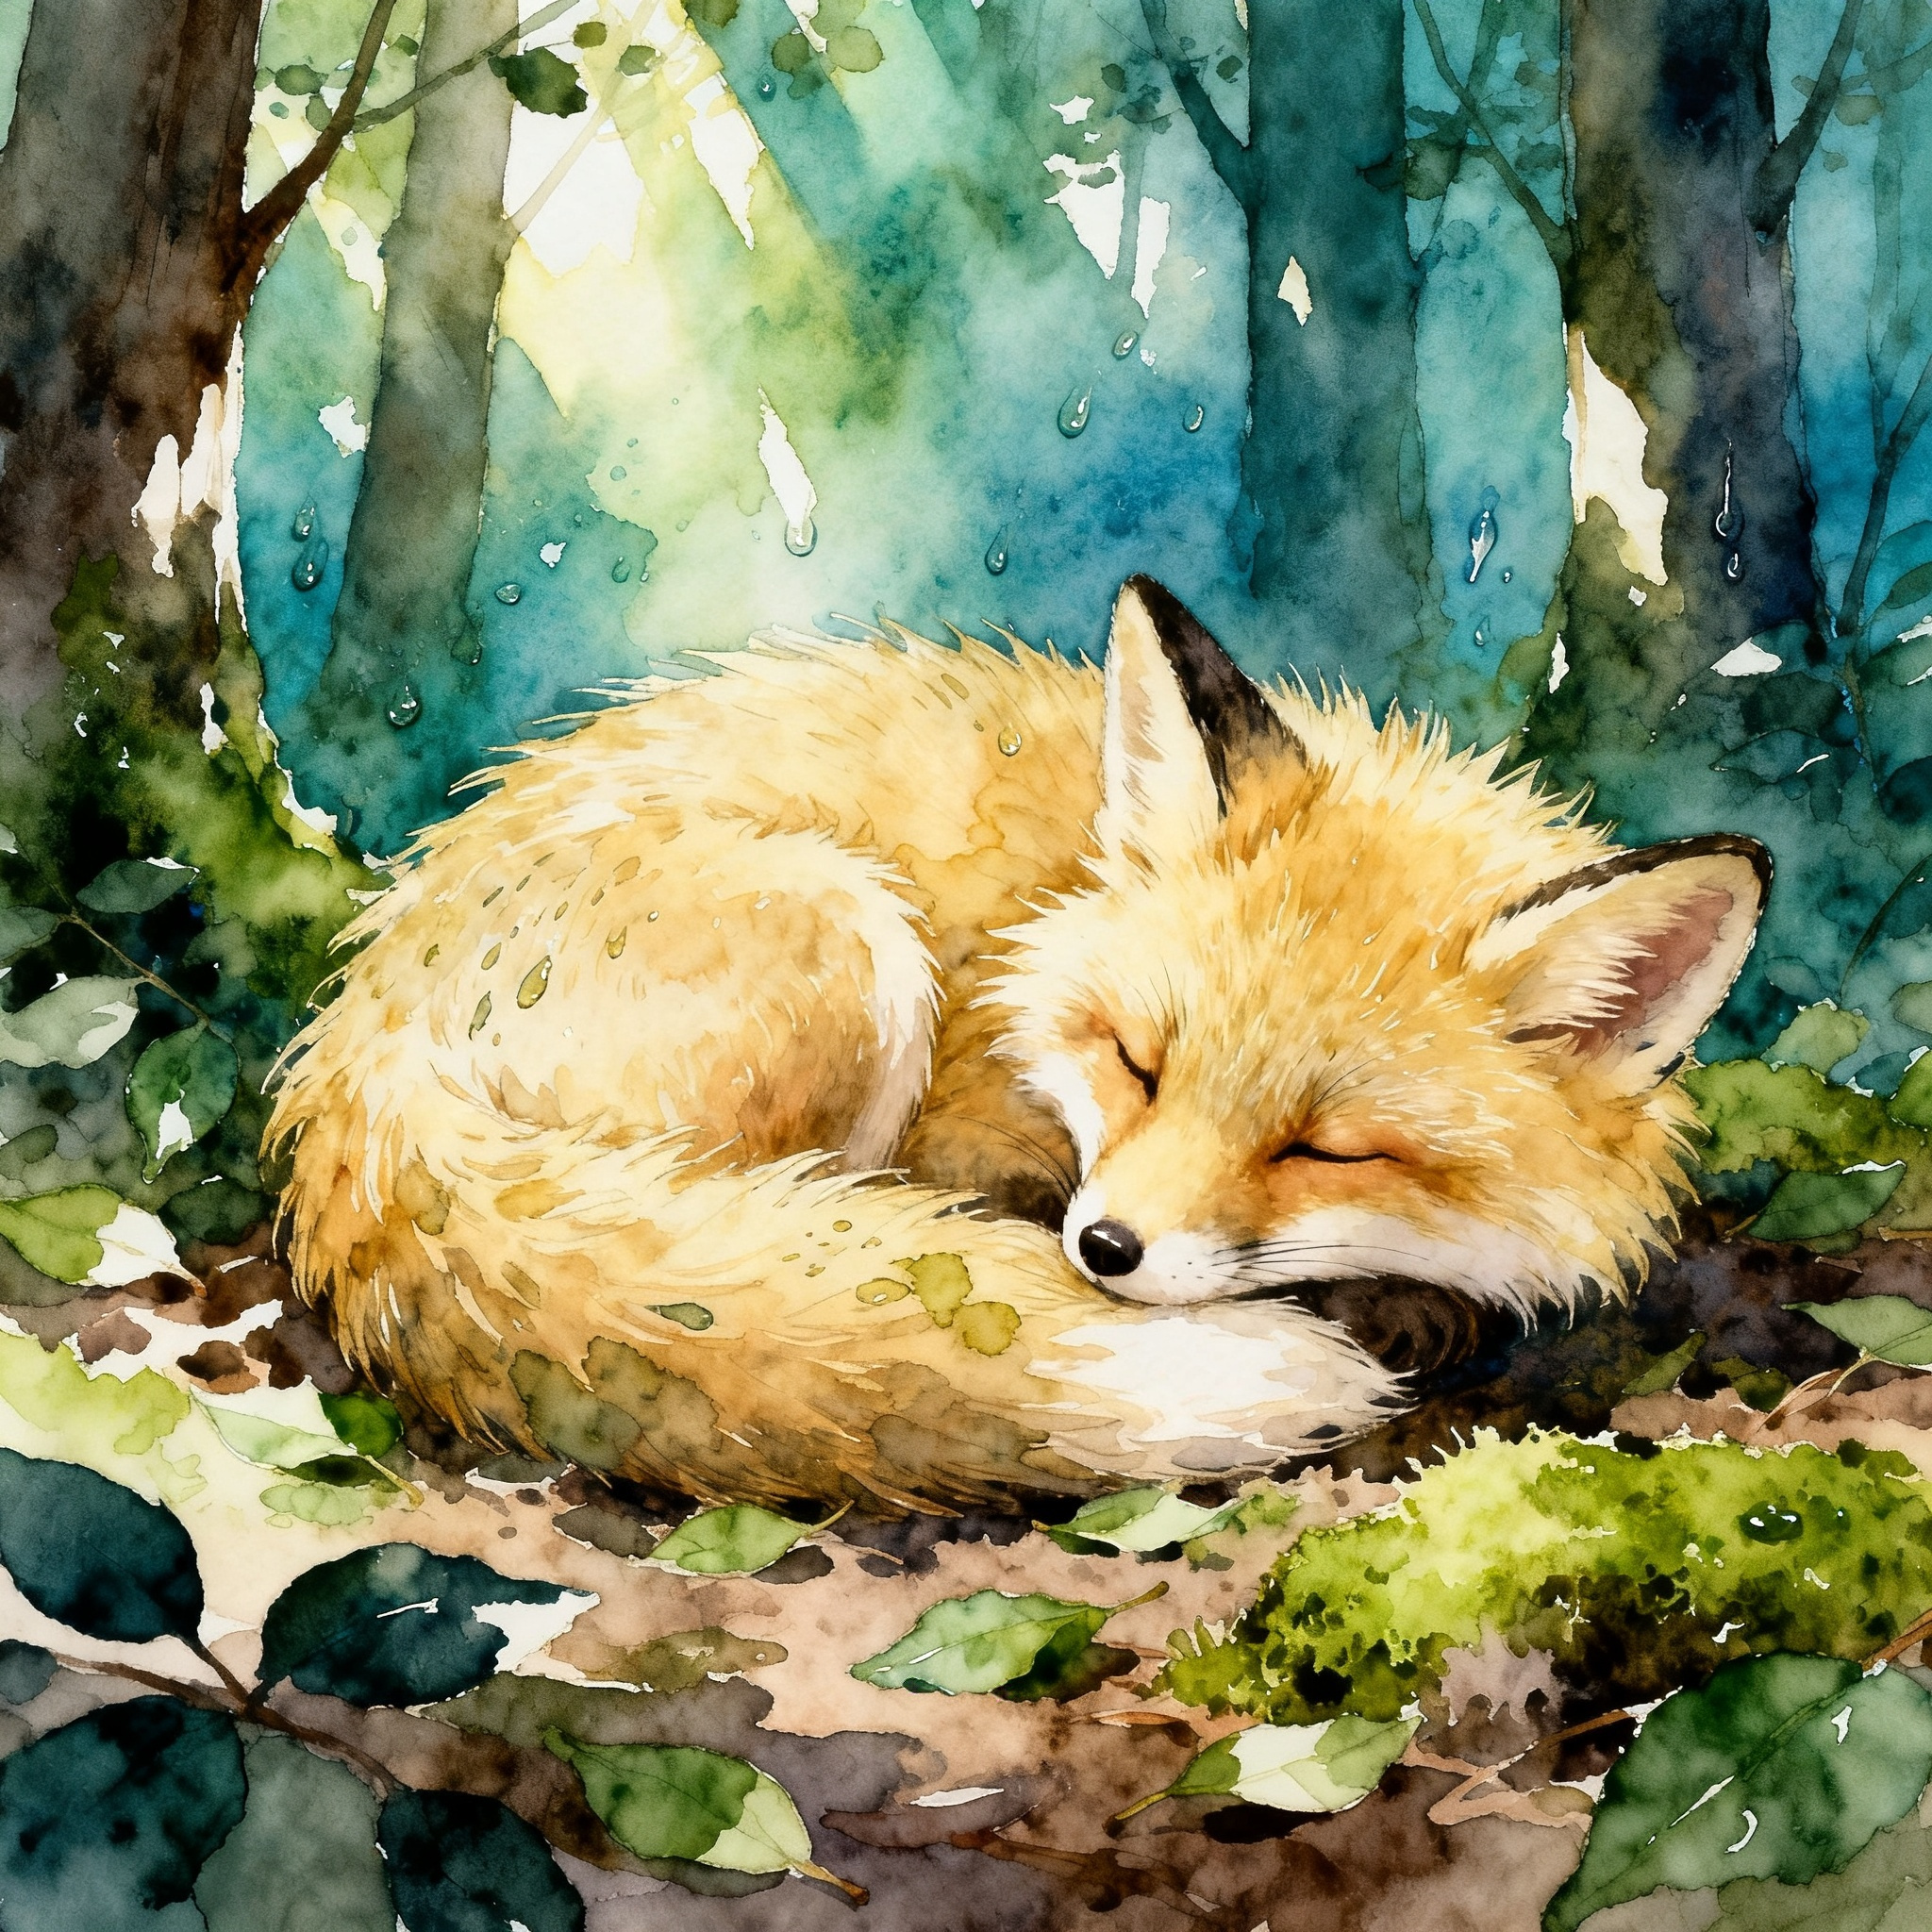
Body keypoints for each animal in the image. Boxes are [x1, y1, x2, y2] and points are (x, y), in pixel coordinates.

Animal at [268, 579, 1769, 1514]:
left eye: (1324, 1148)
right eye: (1139, 1061)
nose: (1105, 1250)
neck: (1047, 900)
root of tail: (364, 1030)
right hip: (848, 947)